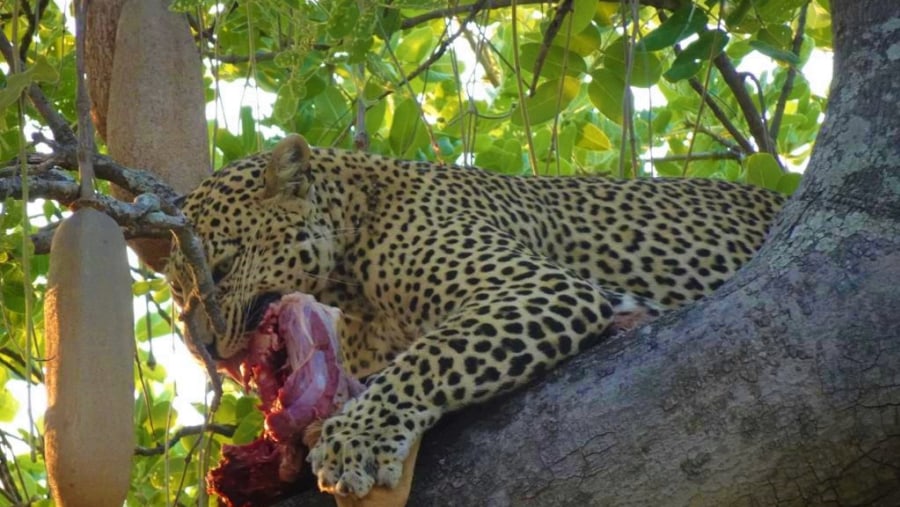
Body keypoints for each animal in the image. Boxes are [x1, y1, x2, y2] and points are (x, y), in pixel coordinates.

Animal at [165, 133, 784, 498]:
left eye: (221, 267)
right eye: (177, 296)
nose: (204, 349)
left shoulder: (539, 287)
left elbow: (426, 359)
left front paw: (355, 440)